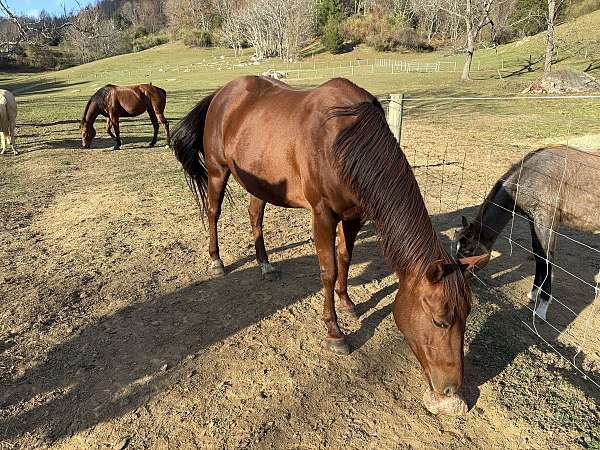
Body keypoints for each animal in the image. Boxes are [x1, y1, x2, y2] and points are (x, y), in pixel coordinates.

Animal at [170, 76, 488, 398]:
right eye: (440, 321)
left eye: (467, 314)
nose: (451, 388)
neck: (342, 141)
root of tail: (222, 93)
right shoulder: (322, 215)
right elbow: (329, 269)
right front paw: (335, 332)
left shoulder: (354, 215)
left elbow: (345, 257)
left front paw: (347, 302)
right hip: (218, 171)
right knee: (213, 212)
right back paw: (217, 260)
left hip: (258, 181)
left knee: (255, 216)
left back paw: (265, 265)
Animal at [454, 144, 600, 320]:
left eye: (468, 251)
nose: (457, 282)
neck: (532, 176)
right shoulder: (533, 219)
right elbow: (538, 255)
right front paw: (533, 294)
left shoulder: (547, 220)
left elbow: (547, 259)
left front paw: (542, 308)